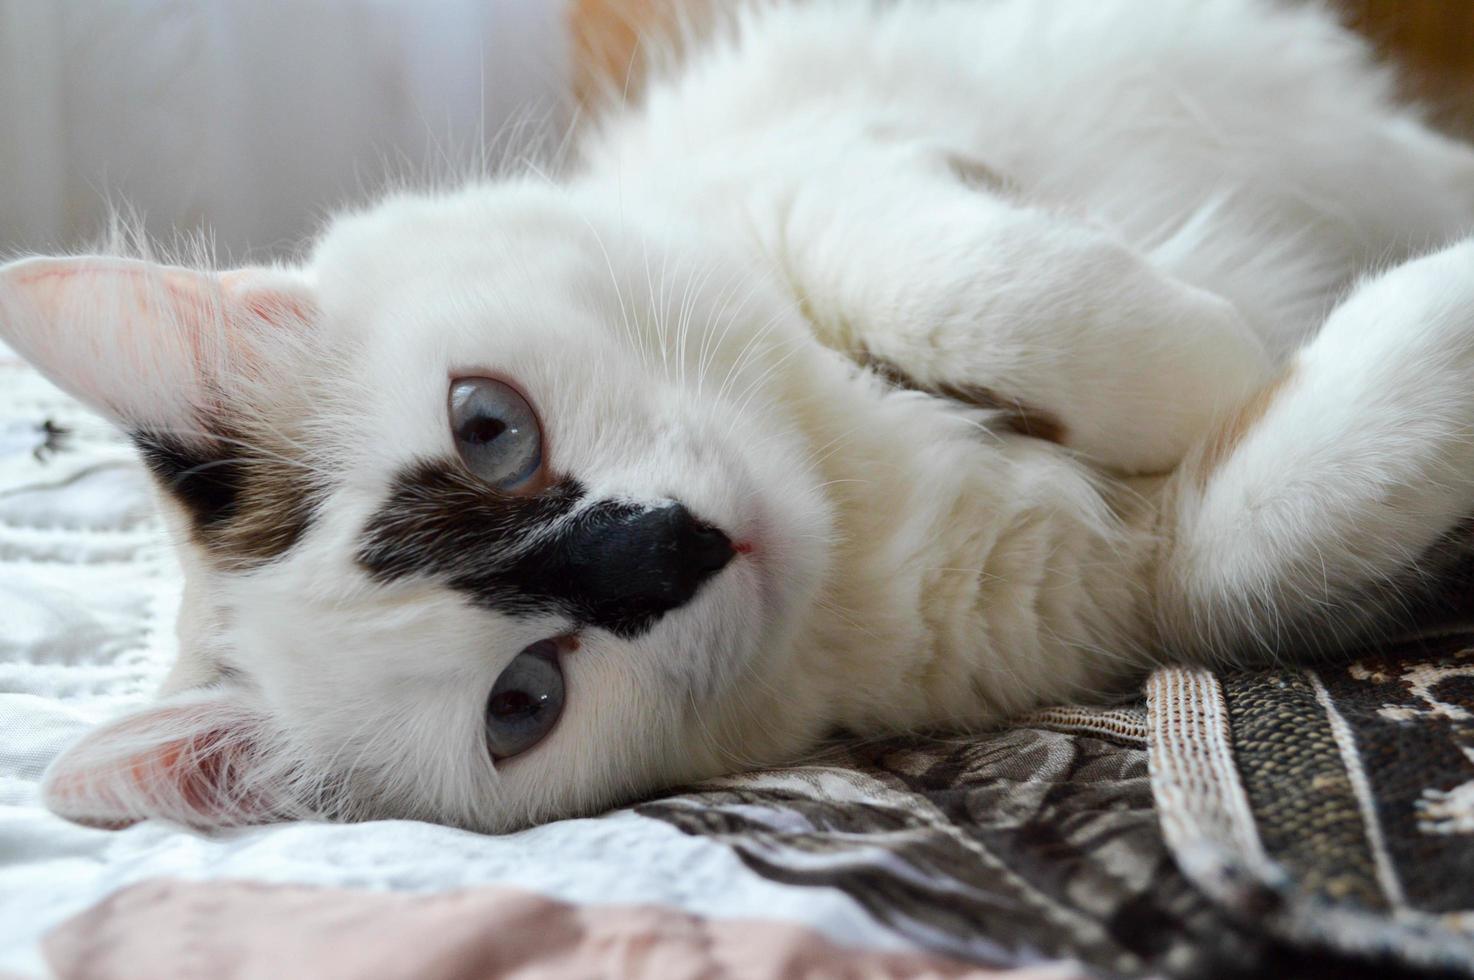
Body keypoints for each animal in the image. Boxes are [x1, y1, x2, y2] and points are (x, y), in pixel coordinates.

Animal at [2, 0, 1474, 831]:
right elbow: (1296, 489)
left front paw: (1209, 349)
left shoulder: (837, 169)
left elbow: (999, 294)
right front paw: (1289, 348)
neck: (864, 480)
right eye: (522, 703)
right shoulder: (1169, 584)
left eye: (489, 427)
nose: (669, 548)